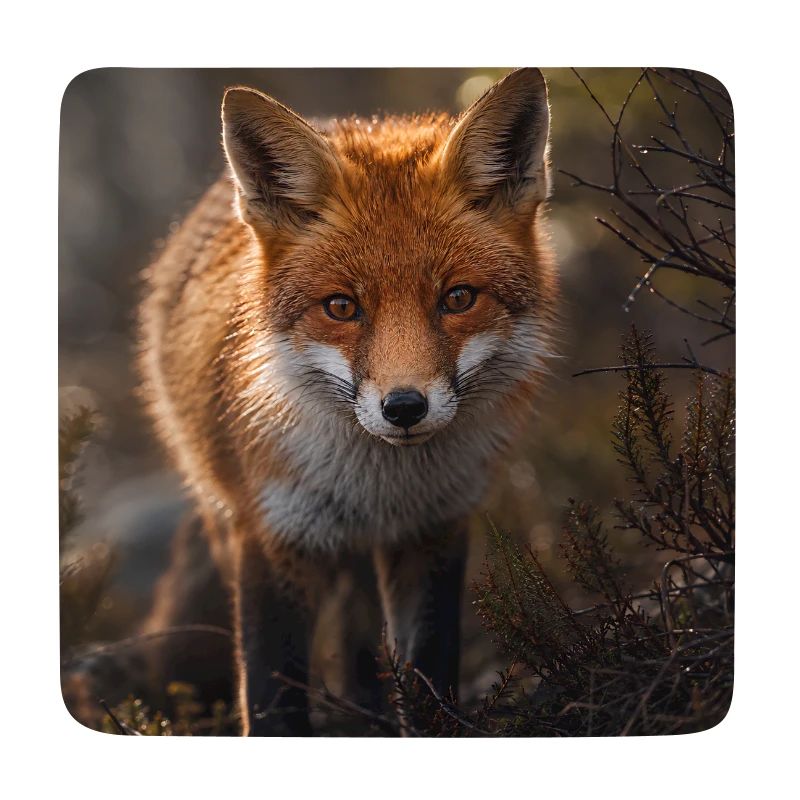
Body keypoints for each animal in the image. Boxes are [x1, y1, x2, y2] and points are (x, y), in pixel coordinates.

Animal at [137, 67, 558, 736]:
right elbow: (273, 699)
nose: (405, 407)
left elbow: (429, 674)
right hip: (229, 517)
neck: (378, 488)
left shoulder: (433, 530)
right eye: (341, 306)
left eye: (458, 298)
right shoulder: (273, 535)